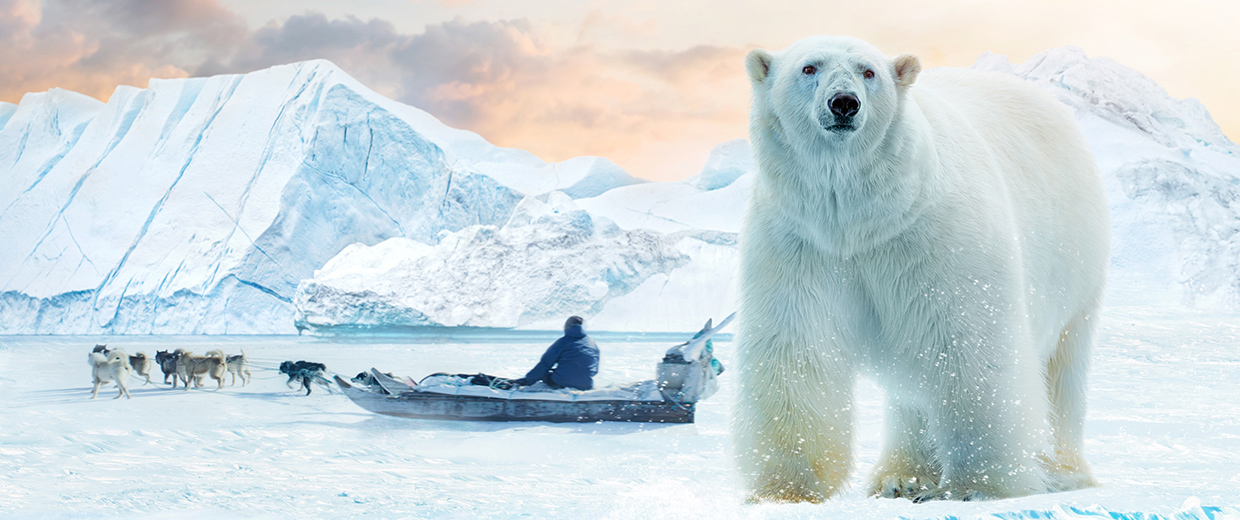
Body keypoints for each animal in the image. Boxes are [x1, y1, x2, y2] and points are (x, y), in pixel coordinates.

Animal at [729, 34, 1111, 503]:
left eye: (868, 71)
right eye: (809, 67)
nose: (844, 103)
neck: (860, 218)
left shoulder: (933, 237)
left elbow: (967, 345)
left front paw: (976, 487)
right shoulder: (802, 243)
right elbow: (797, 345)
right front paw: (783, 489)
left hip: (1075, 260)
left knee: (1061, 367)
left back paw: (1060, 471)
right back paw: (899, 477)